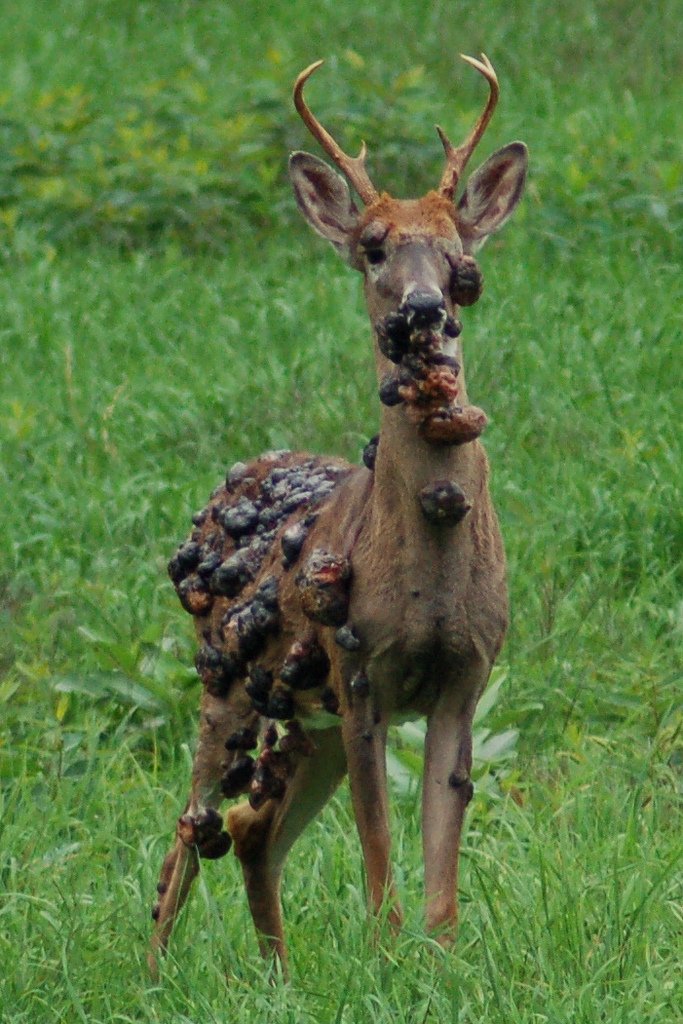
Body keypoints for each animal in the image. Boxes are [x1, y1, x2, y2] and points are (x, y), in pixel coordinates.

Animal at [149, 54, 528, 974]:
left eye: (460, 255)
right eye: (372, 245)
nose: (424, 309)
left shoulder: (466, 678)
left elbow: (439, 867)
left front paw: (440, 965)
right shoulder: (361, 678)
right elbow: (379, 851)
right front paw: (387, 961)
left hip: (297, 709)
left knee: (251, 830)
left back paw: (278, 977)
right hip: (228, 681)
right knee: (189, 830)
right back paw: (152, 976)